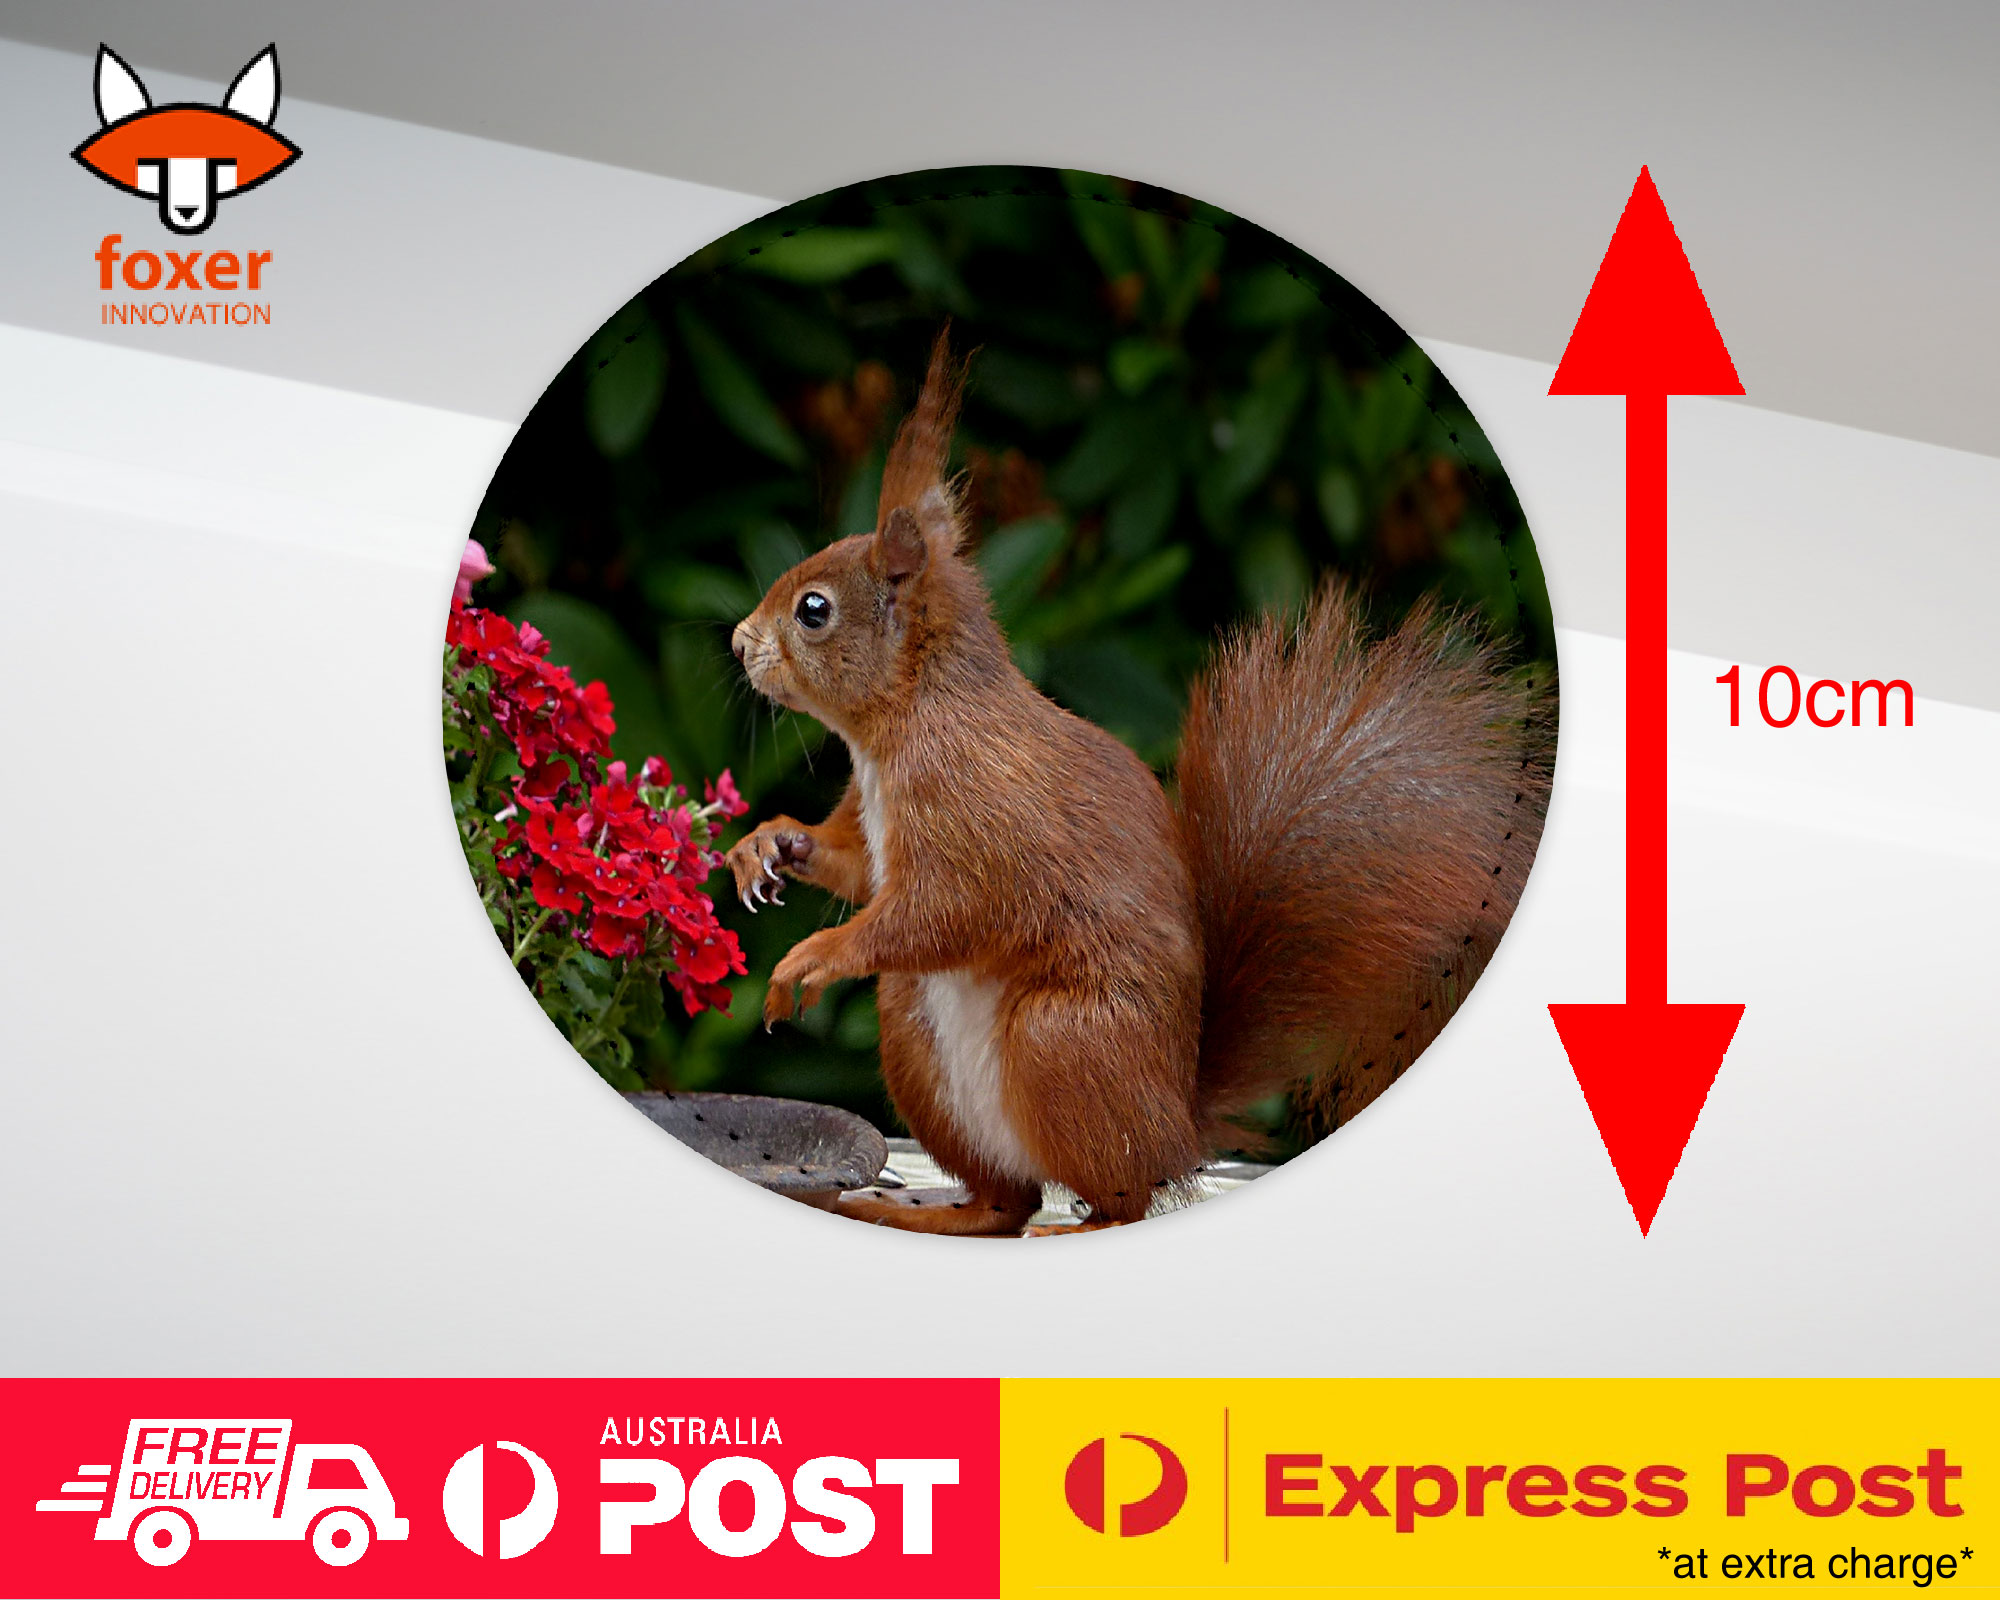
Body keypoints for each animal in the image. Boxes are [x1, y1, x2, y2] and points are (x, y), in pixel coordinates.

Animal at [726, 330, 1551, 1234]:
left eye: (813, 610)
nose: (737, 643)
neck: (903, 723)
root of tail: (1177, 1125)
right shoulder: (876, 825)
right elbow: (857, 869)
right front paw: (768, 845)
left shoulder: (978, 806)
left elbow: (948, 907)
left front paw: (815, 955)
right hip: (917, 1031)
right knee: (1006, 1200)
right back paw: (927, 1209)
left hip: (1063, 1040)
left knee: (1115, 1195)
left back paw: (1081, 1216)